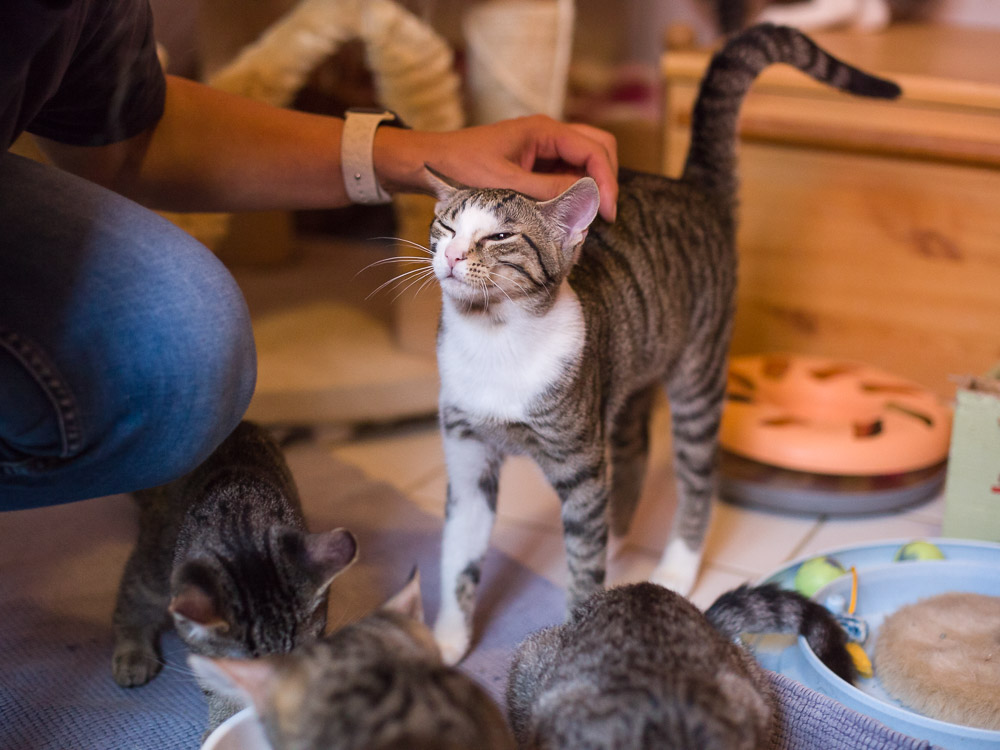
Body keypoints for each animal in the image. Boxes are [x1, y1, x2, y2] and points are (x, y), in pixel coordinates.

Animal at [426, 26, 904, 668]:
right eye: (446, 226)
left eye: (500, 235)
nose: (452, 255)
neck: (494, 339)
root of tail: (693, 186)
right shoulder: (468, 452)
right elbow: (459, 553)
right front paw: (446, 641)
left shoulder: (579, 461)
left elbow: (582, 564)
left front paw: (580, 635)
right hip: (628, 378)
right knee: (630, 451)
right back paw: (620, 535)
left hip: (698, 374)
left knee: (696, 474)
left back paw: (675, 564)